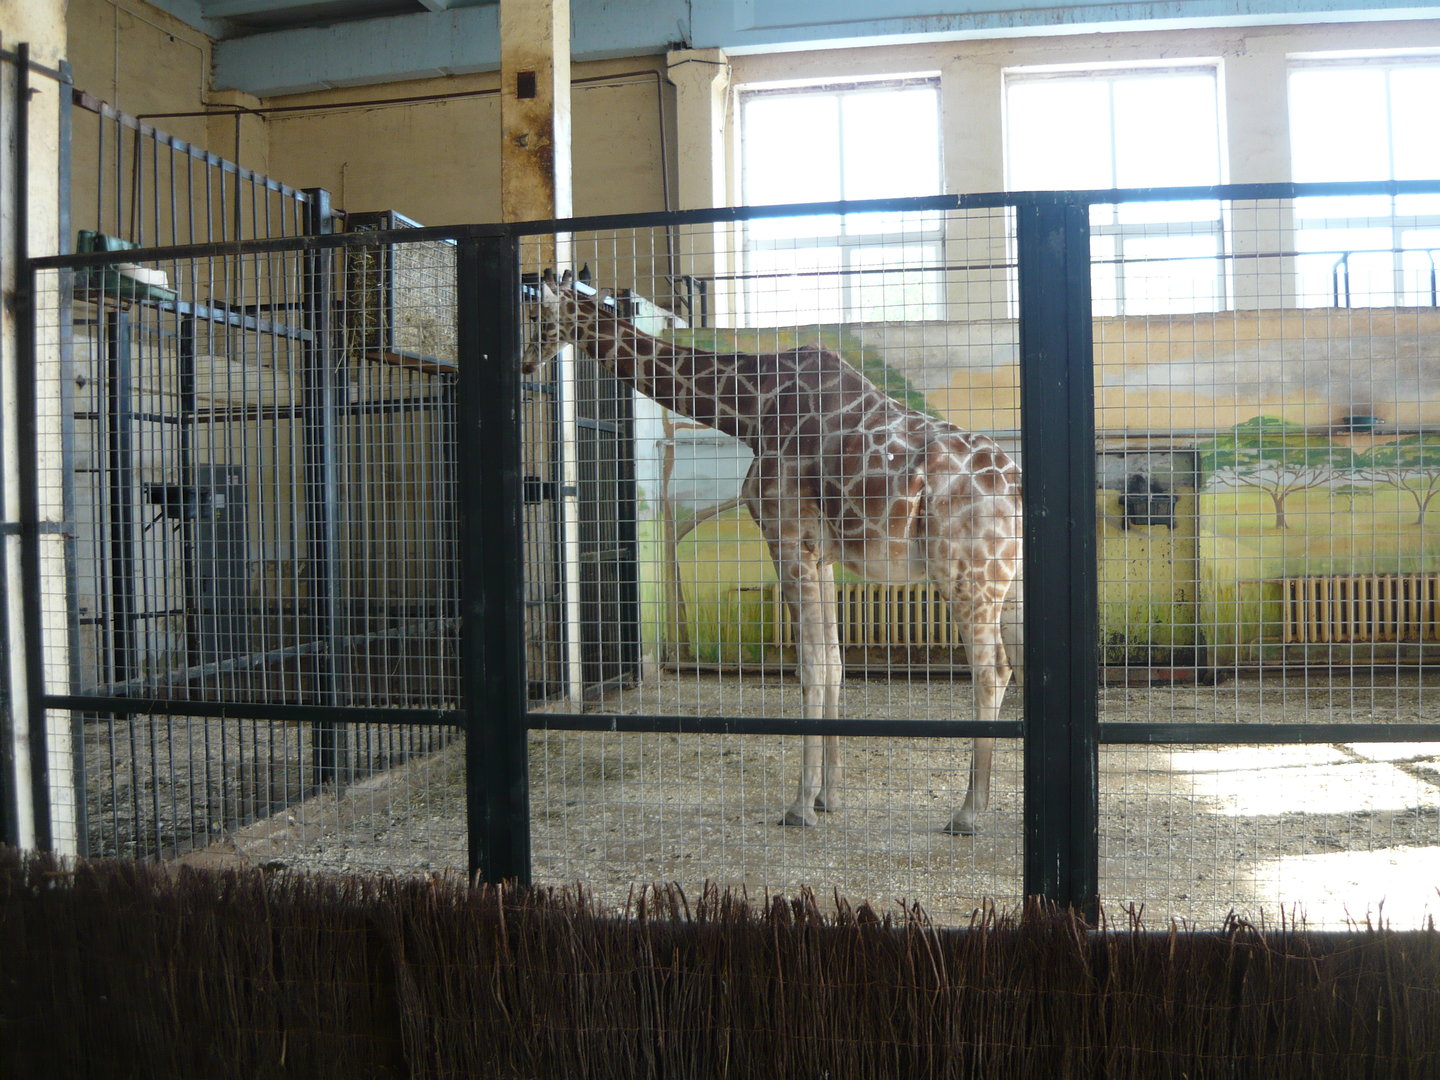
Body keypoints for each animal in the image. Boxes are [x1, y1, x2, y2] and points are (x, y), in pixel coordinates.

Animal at [524, 270, 1023, 834]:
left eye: (537, 316)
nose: (525, 363)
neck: (749, 409)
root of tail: (1015, 489)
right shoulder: (819, 553)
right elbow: (834, 663)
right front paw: (829, 795)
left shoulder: (785, 537)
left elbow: (809, 667)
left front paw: (800, 805)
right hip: (1007, 580)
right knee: (1013, 664)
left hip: (966, 574)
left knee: (992, 669)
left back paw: (968, 811)